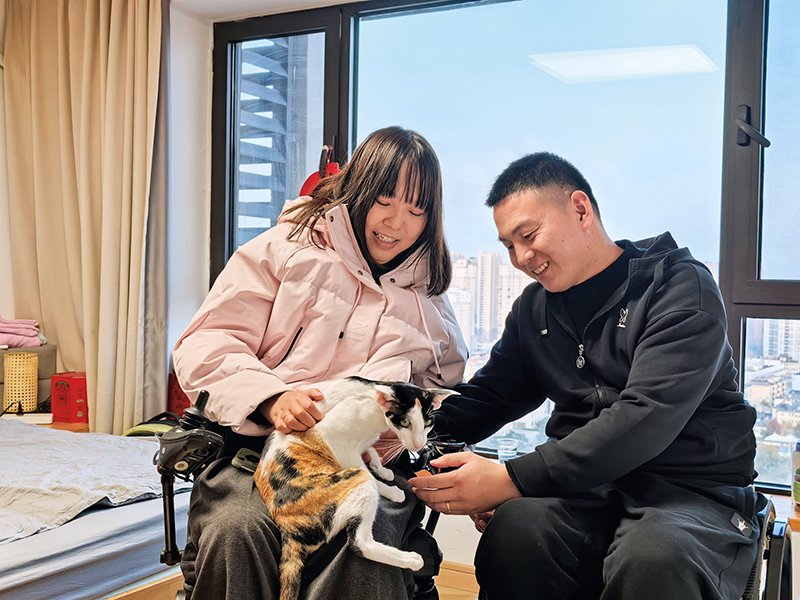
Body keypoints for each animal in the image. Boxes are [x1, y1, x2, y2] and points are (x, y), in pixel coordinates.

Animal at [253, 376, 457, 600]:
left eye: (427, 423)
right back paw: (411, 559)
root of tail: (286, 528)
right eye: (405, 422)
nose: (419, 445)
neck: (371, 401)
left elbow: (371, 452)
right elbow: (367, 469)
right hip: (355, 480)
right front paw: (390, 490)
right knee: (359, 544)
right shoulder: (336, 442)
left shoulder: (363, 443)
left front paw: (383, 470)